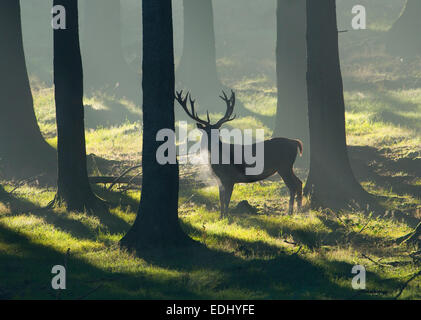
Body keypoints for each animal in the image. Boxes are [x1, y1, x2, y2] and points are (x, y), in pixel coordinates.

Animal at [174, 91, 302, 219]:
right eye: (207, 132)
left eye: (217, 131)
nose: (215, 142)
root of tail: (295, 142)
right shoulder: (220, 180)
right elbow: (221, 199)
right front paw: (221, 217)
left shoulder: (230, 178)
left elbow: (227, 200)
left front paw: (226, 216)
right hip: (287, 167)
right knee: (299, 183)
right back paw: (298, 211)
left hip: (284, 166)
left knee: (293, 186)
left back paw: (291, 212)